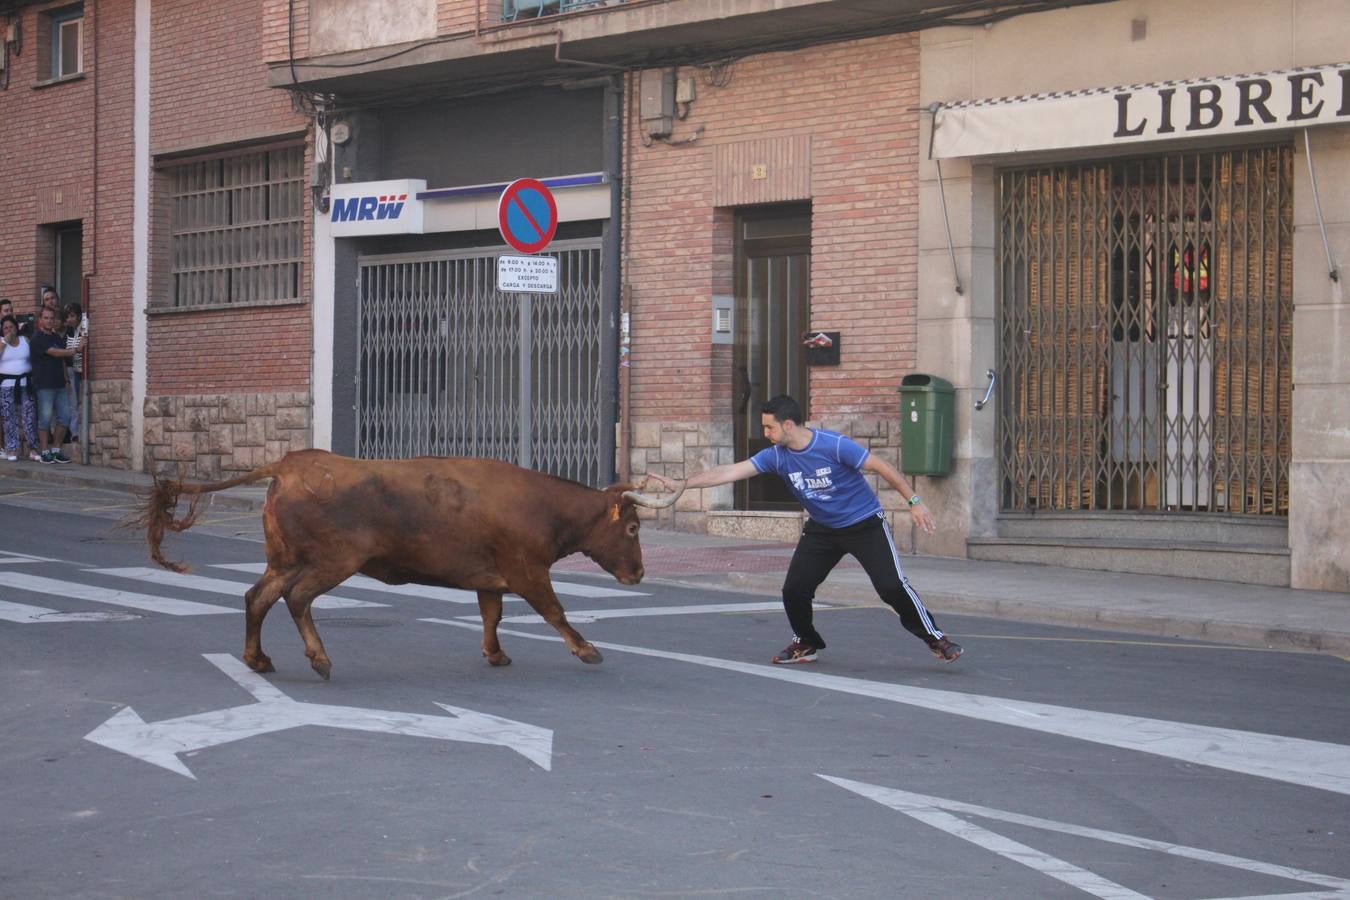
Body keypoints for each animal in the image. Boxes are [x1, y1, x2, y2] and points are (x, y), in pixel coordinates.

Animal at [145, 453, 685, 680]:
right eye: (632, 529)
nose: (638, 574)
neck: (543, 506)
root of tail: (290, 463)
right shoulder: (528, 571)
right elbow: (555, 612)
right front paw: (587, 650)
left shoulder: (490, 578)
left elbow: (492, 614)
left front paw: (495, 654)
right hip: (332, 561)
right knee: (296, 599)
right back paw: (319, 659)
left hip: (285, 559)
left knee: (258, 597)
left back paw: (258, 659)